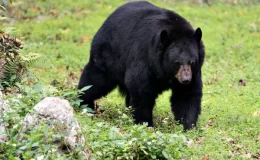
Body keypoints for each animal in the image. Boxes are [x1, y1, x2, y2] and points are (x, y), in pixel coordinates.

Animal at [78, 0, 204, 130]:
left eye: (192, 62)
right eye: (176, 62)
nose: (185, 80)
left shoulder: (194, 73)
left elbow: (186, 95)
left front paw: (188, 127)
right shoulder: (145, 57)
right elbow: (141, 89)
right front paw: (145, 123)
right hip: (108, 55)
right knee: (95, 81)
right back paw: (84, 103)